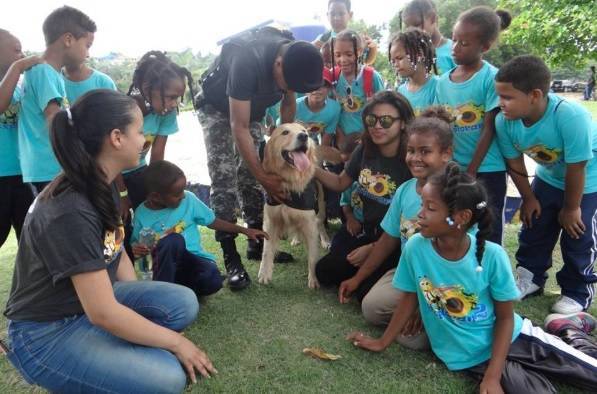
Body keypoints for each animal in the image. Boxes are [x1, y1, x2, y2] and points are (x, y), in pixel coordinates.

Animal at [260, 123, 326, 290]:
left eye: (303, 131)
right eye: (285, 132)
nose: (304, 137)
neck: (290, 181)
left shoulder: (309, 223)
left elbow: (313, 256)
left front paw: (314, 279)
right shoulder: (271, 220)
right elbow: (266, 250)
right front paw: (264, 274)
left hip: (321, 206)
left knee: (321, 224)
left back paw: (325, 241)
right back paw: (296, 239)